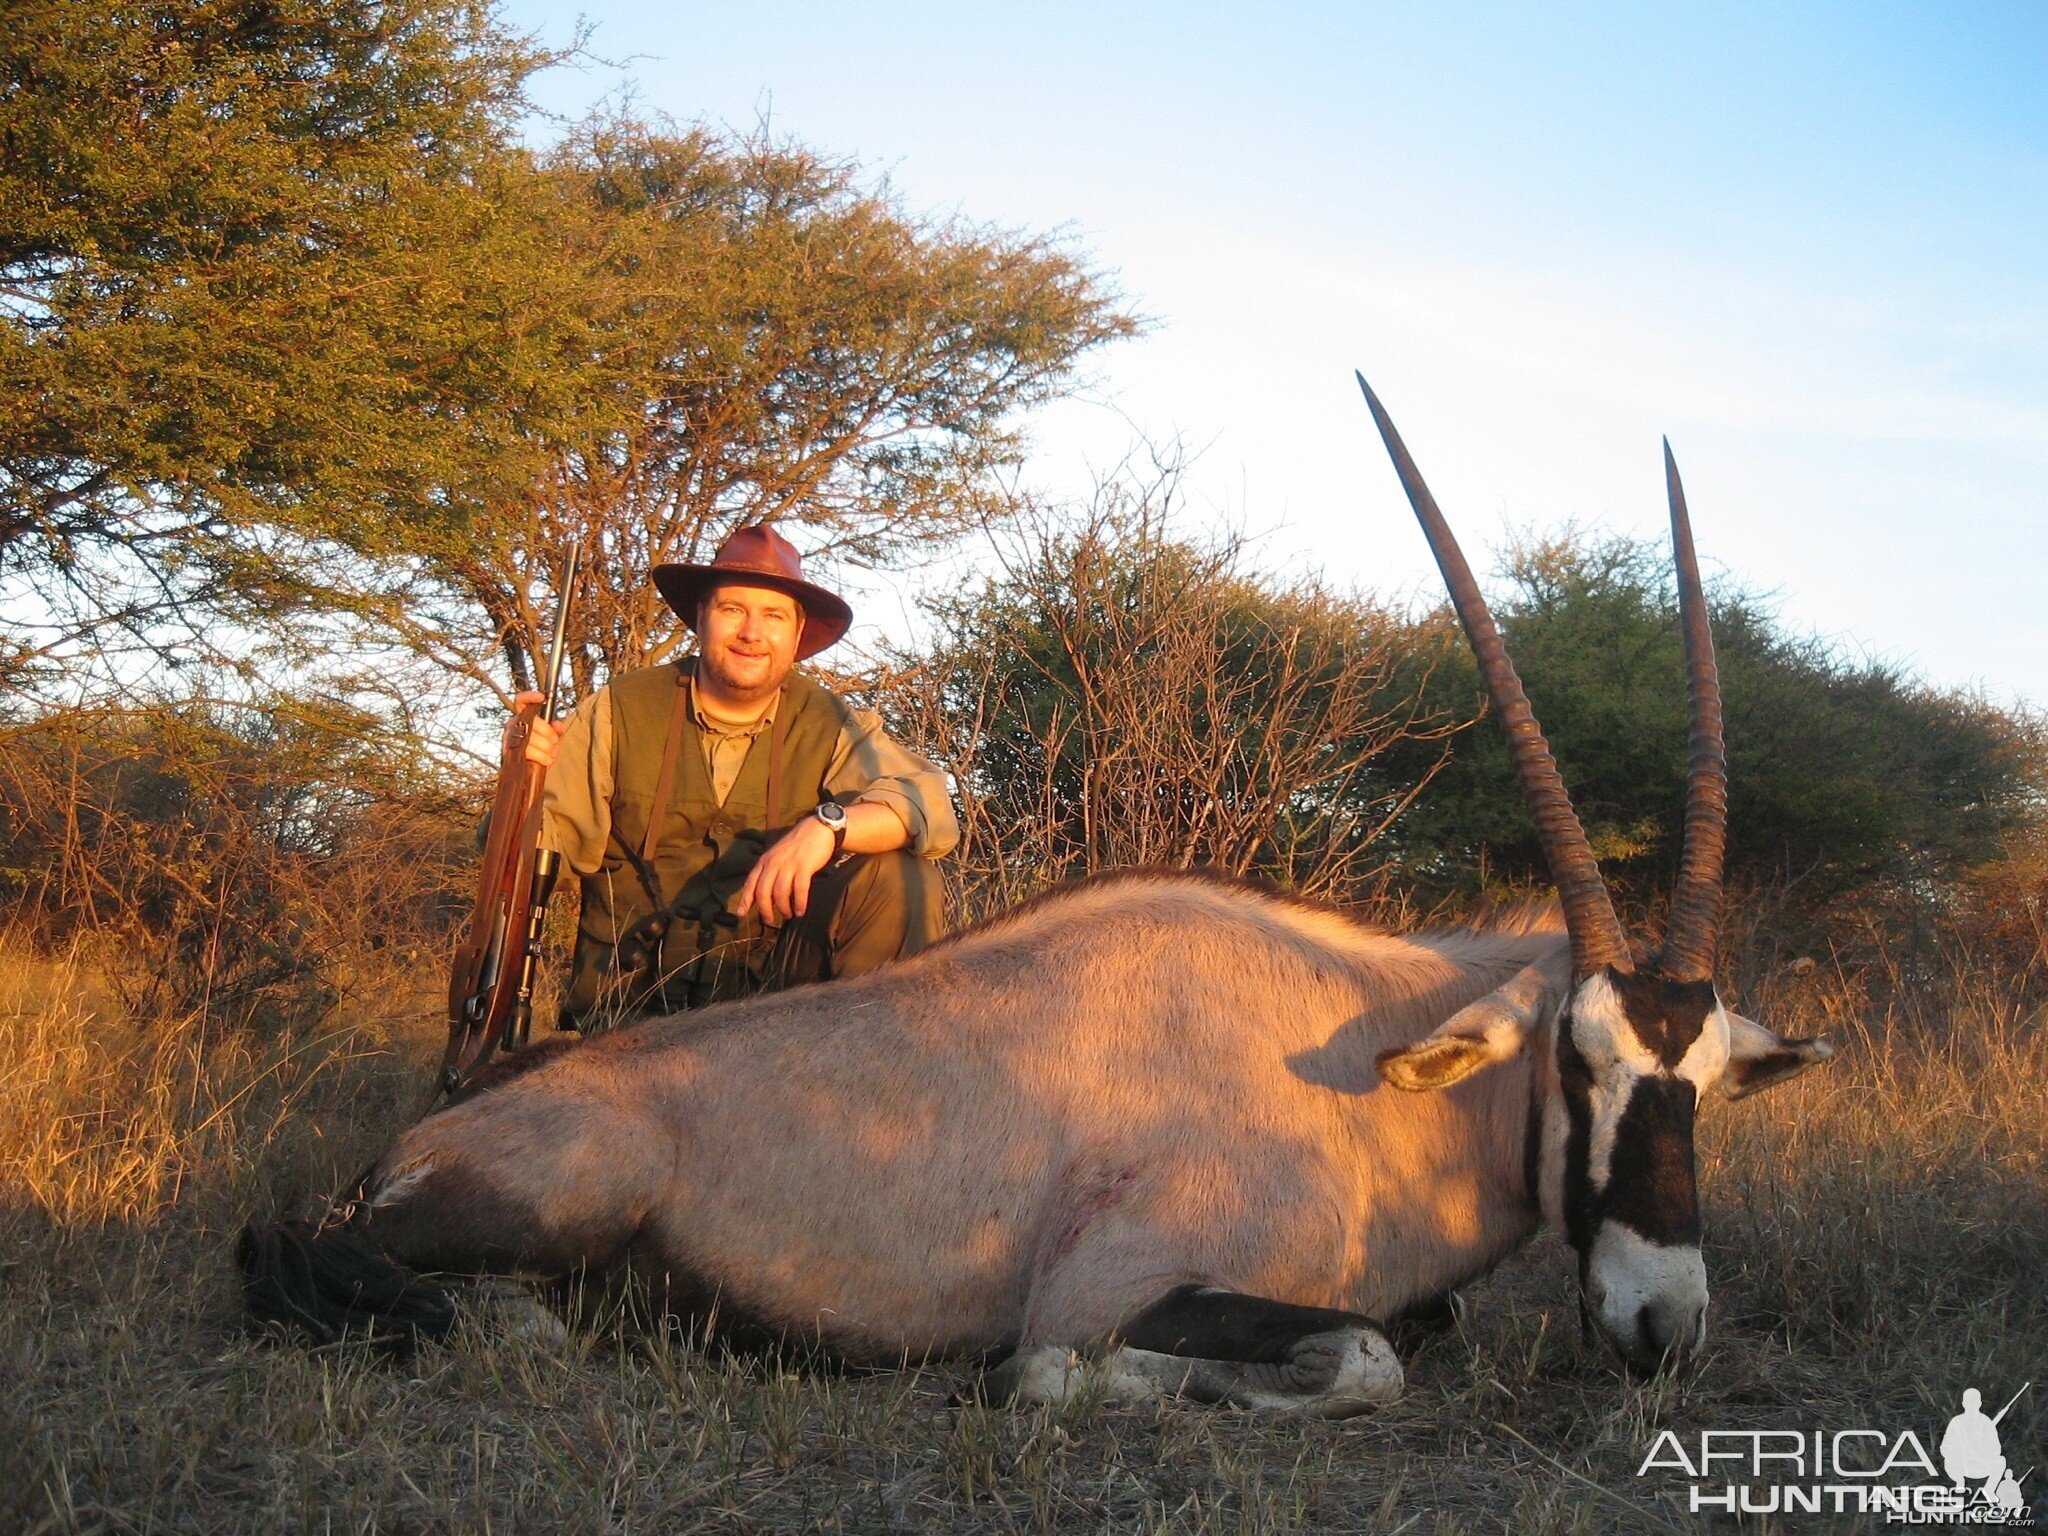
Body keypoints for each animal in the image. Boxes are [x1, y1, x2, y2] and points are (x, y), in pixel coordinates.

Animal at [232, 382, 1835, 1417]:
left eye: (1705, 1084)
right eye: (1579, 1067)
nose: (1662, 1325)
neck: (1359, 1063)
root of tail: (421, 1138)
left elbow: (1395, 1339)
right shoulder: (1113, 1281)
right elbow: (1308, 1359)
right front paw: (1062, 1386)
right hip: (558, 1193)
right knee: (321, 1260)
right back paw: (522, 1325)